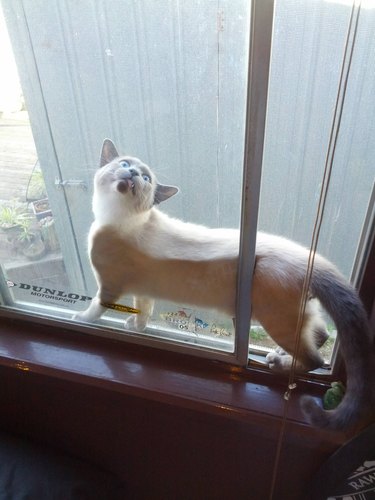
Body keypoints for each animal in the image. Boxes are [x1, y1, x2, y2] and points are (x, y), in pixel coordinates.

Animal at [74, 139, 375, 432]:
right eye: (125, 164)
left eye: (146, 178)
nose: (134, 173)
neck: (114, 217)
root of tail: (309, 257)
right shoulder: (143, 292)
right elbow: (142, 313)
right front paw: (133, 327)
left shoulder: (109, 287)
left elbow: (96, 308)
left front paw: (81, 319)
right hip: (296, 315)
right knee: (321, 335)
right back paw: (281, 355)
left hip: (274, 318)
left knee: (316, 359)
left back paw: (278, 362)